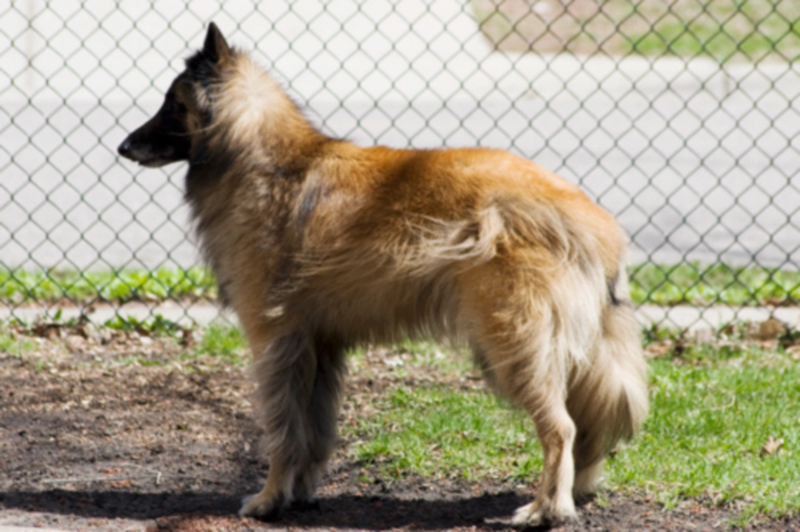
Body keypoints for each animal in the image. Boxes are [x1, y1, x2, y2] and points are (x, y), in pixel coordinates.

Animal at [115, 22, 648, 524]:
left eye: (172, 103)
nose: (122, 148)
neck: (260, 160)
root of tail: (593, 223)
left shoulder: (277, 342)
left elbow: (283, 431)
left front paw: (268, 500)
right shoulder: (319, 347)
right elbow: (314, 433)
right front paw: (299, 494)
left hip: (514, 346)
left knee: (562, 427)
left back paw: (546, 509)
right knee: (588, 424)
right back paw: (578, 491)